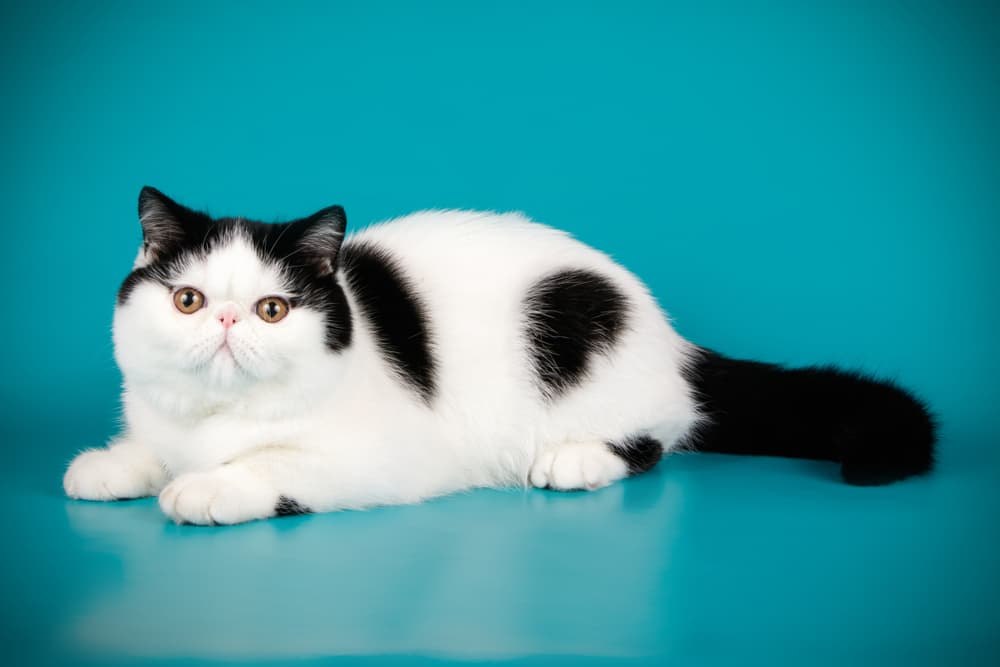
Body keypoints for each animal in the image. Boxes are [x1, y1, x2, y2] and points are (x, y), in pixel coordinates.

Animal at [62, 185, 936, 524]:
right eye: (188, 300)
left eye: (273, 309)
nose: (226, 322)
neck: (215, 417)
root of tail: (669, 335)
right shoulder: (163, 415)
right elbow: (152, 445)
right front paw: (113, 464)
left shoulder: (387, 457)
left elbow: (268, 467)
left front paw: (207, 486)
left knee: (655, 440)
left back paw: (575, 458)